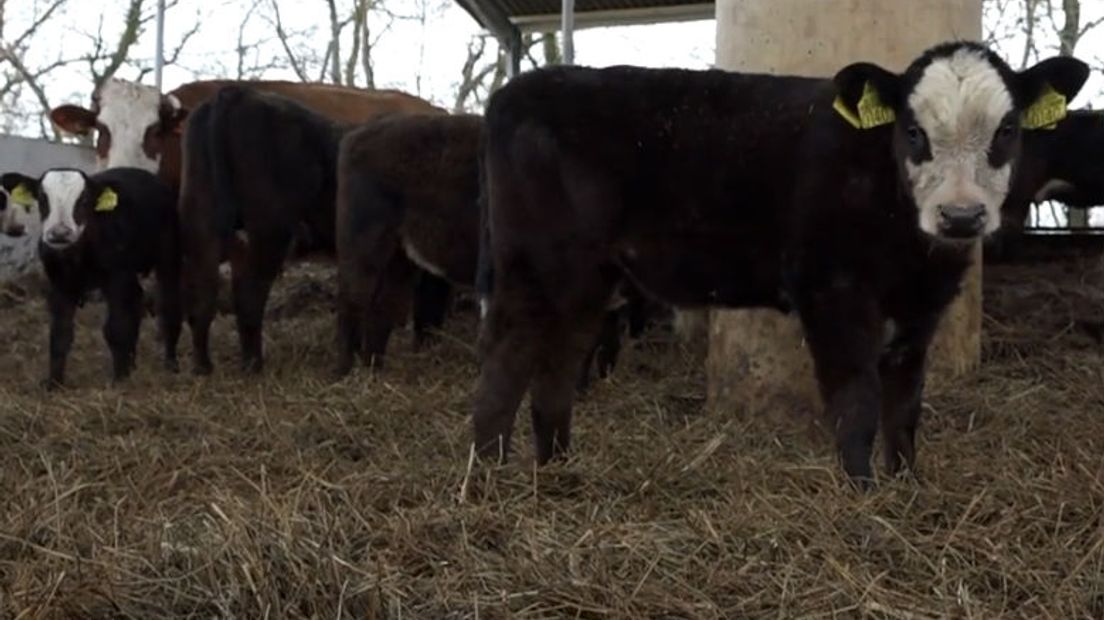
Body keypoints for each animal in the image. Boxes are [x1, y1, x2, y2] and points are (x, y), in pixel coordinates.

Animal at [4, 166, 181, 383]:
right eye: (42, 198)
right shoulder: (59, 285)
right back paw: (132, 363)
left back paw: (170, 363)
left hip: (169, 253)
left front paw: (120, 380)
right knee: (137, 301)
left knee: (169, 305)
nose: (60, 233)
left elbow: (116, 328)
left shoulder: (117, 278)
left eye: (84, 200)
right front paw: (54, 383)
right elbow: (60, 333)